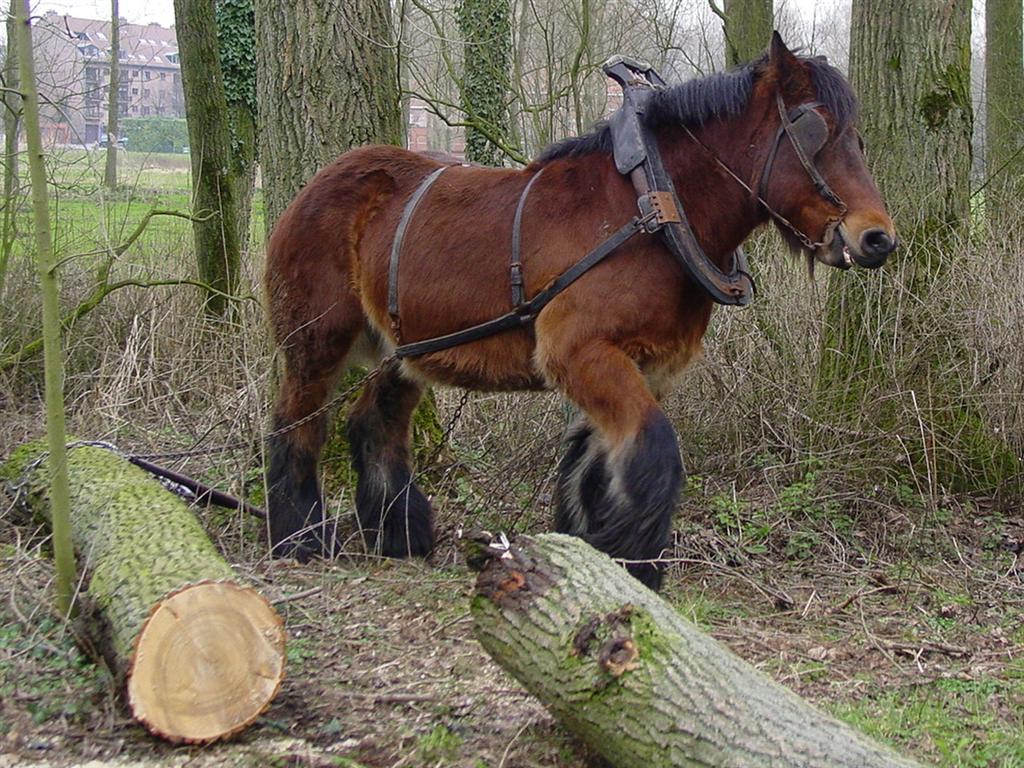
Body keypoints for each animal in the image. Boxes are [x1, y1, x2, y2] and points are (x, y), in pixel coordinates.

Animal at [264, 33, 897, 593]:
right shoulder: (579, 351)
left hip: (404, 350)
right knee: (298, 422)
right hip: (315, 339)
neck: (653, 206)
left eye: (858, 139)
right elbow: (653, 450)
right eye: (815, 133)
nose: (878, 239)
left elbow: (594, 467)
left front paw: (594, 552)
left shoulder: (643, 364)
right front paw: (635, 566)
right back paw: (297, 536)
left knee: (375, 422)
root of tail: (317, 183)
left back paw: (399, 534)